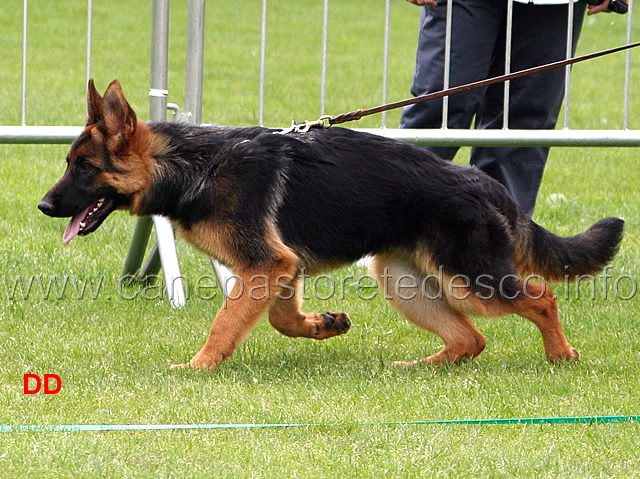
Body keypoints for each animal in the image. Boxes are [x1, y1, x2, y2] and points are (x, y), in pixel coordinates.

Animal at [37, 79, 624, 372]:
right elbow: (280, 320)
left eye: (82, 167)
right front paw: (323, 325)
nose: (43, 206)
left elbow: (224, 324)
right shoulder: (279, 270)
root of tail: (488, 184)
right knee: (471, 338)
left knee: (541, 297)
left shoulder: (265, 266)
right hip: (402, 280)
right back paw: (421, 365)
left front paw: (199, 366)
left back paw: (560, 355)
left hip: (471, 279)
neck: (192, 166)